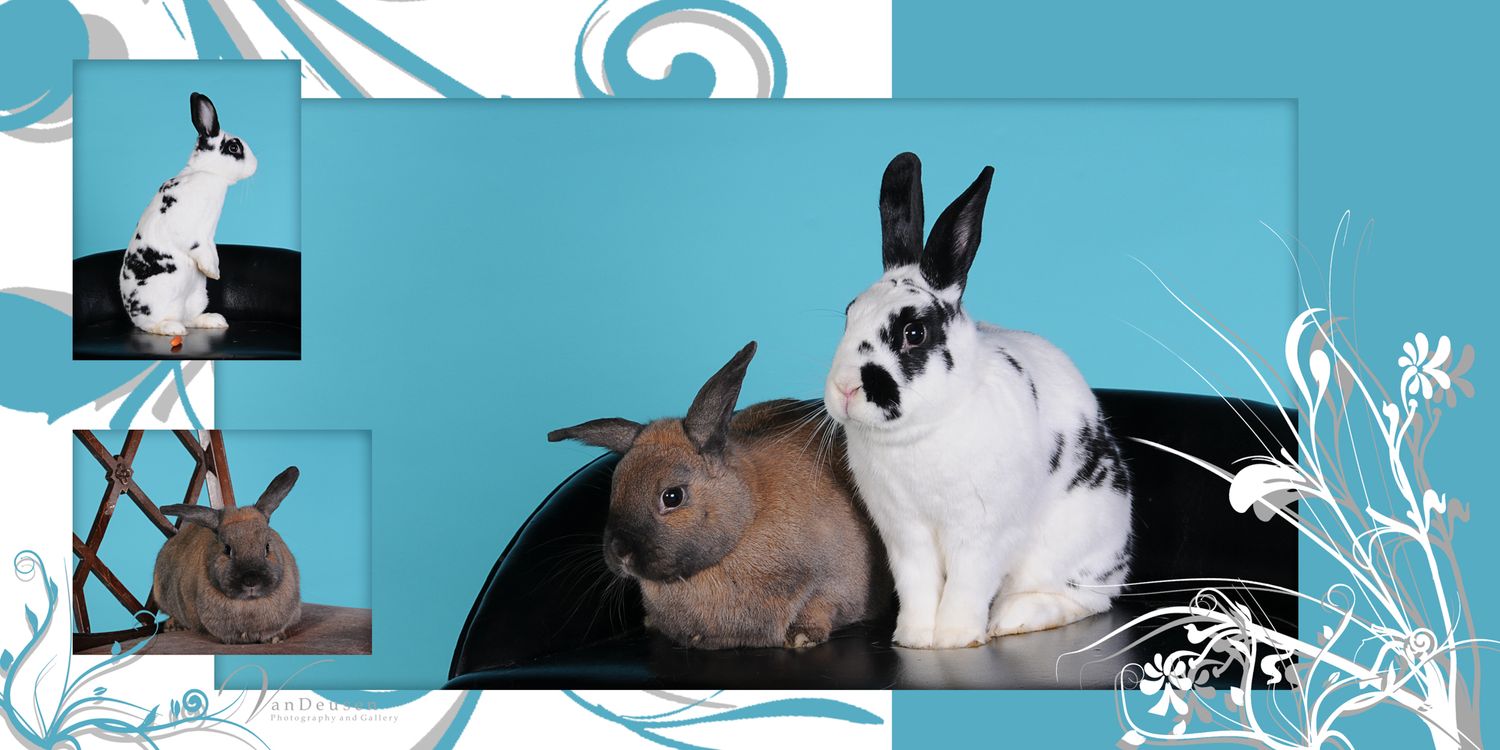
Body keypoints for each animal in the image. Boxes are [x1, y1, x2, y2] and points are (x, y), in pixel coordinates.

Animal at [119, 92, 257, 336]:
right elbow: (199, 248)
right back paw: (172, 328)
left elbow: (213, 252)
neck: (207, 173)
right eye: (233, 147)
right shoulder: (190, 233)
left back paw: (214, 320)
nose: (256, 164)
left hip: (197, 297)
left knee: (190, 318)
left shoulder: (210, 237)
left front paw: (215, 272)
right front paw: (212, 272)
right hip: (157, 305)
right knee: (152, 325)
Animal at [549, 341, 887, 649]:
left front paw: (802, 636)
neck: (747, 518)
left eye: (672, 496)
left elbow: (821, 605)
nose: (620, 553)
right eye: (615, 488)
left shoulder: (836, 584)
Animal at [823, 153, 1134, 650]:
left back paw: (1012, 619)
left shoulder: (982, 534)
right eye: (849, 316)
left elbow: (967, 584)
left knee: (1085, 598)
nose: (846, 390)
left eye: (914, 333)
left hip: (1070, 550)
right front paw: (914, 638)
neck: (919, 434)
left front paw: (956, 638)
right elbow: (918, 585)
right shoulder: (905, 535)